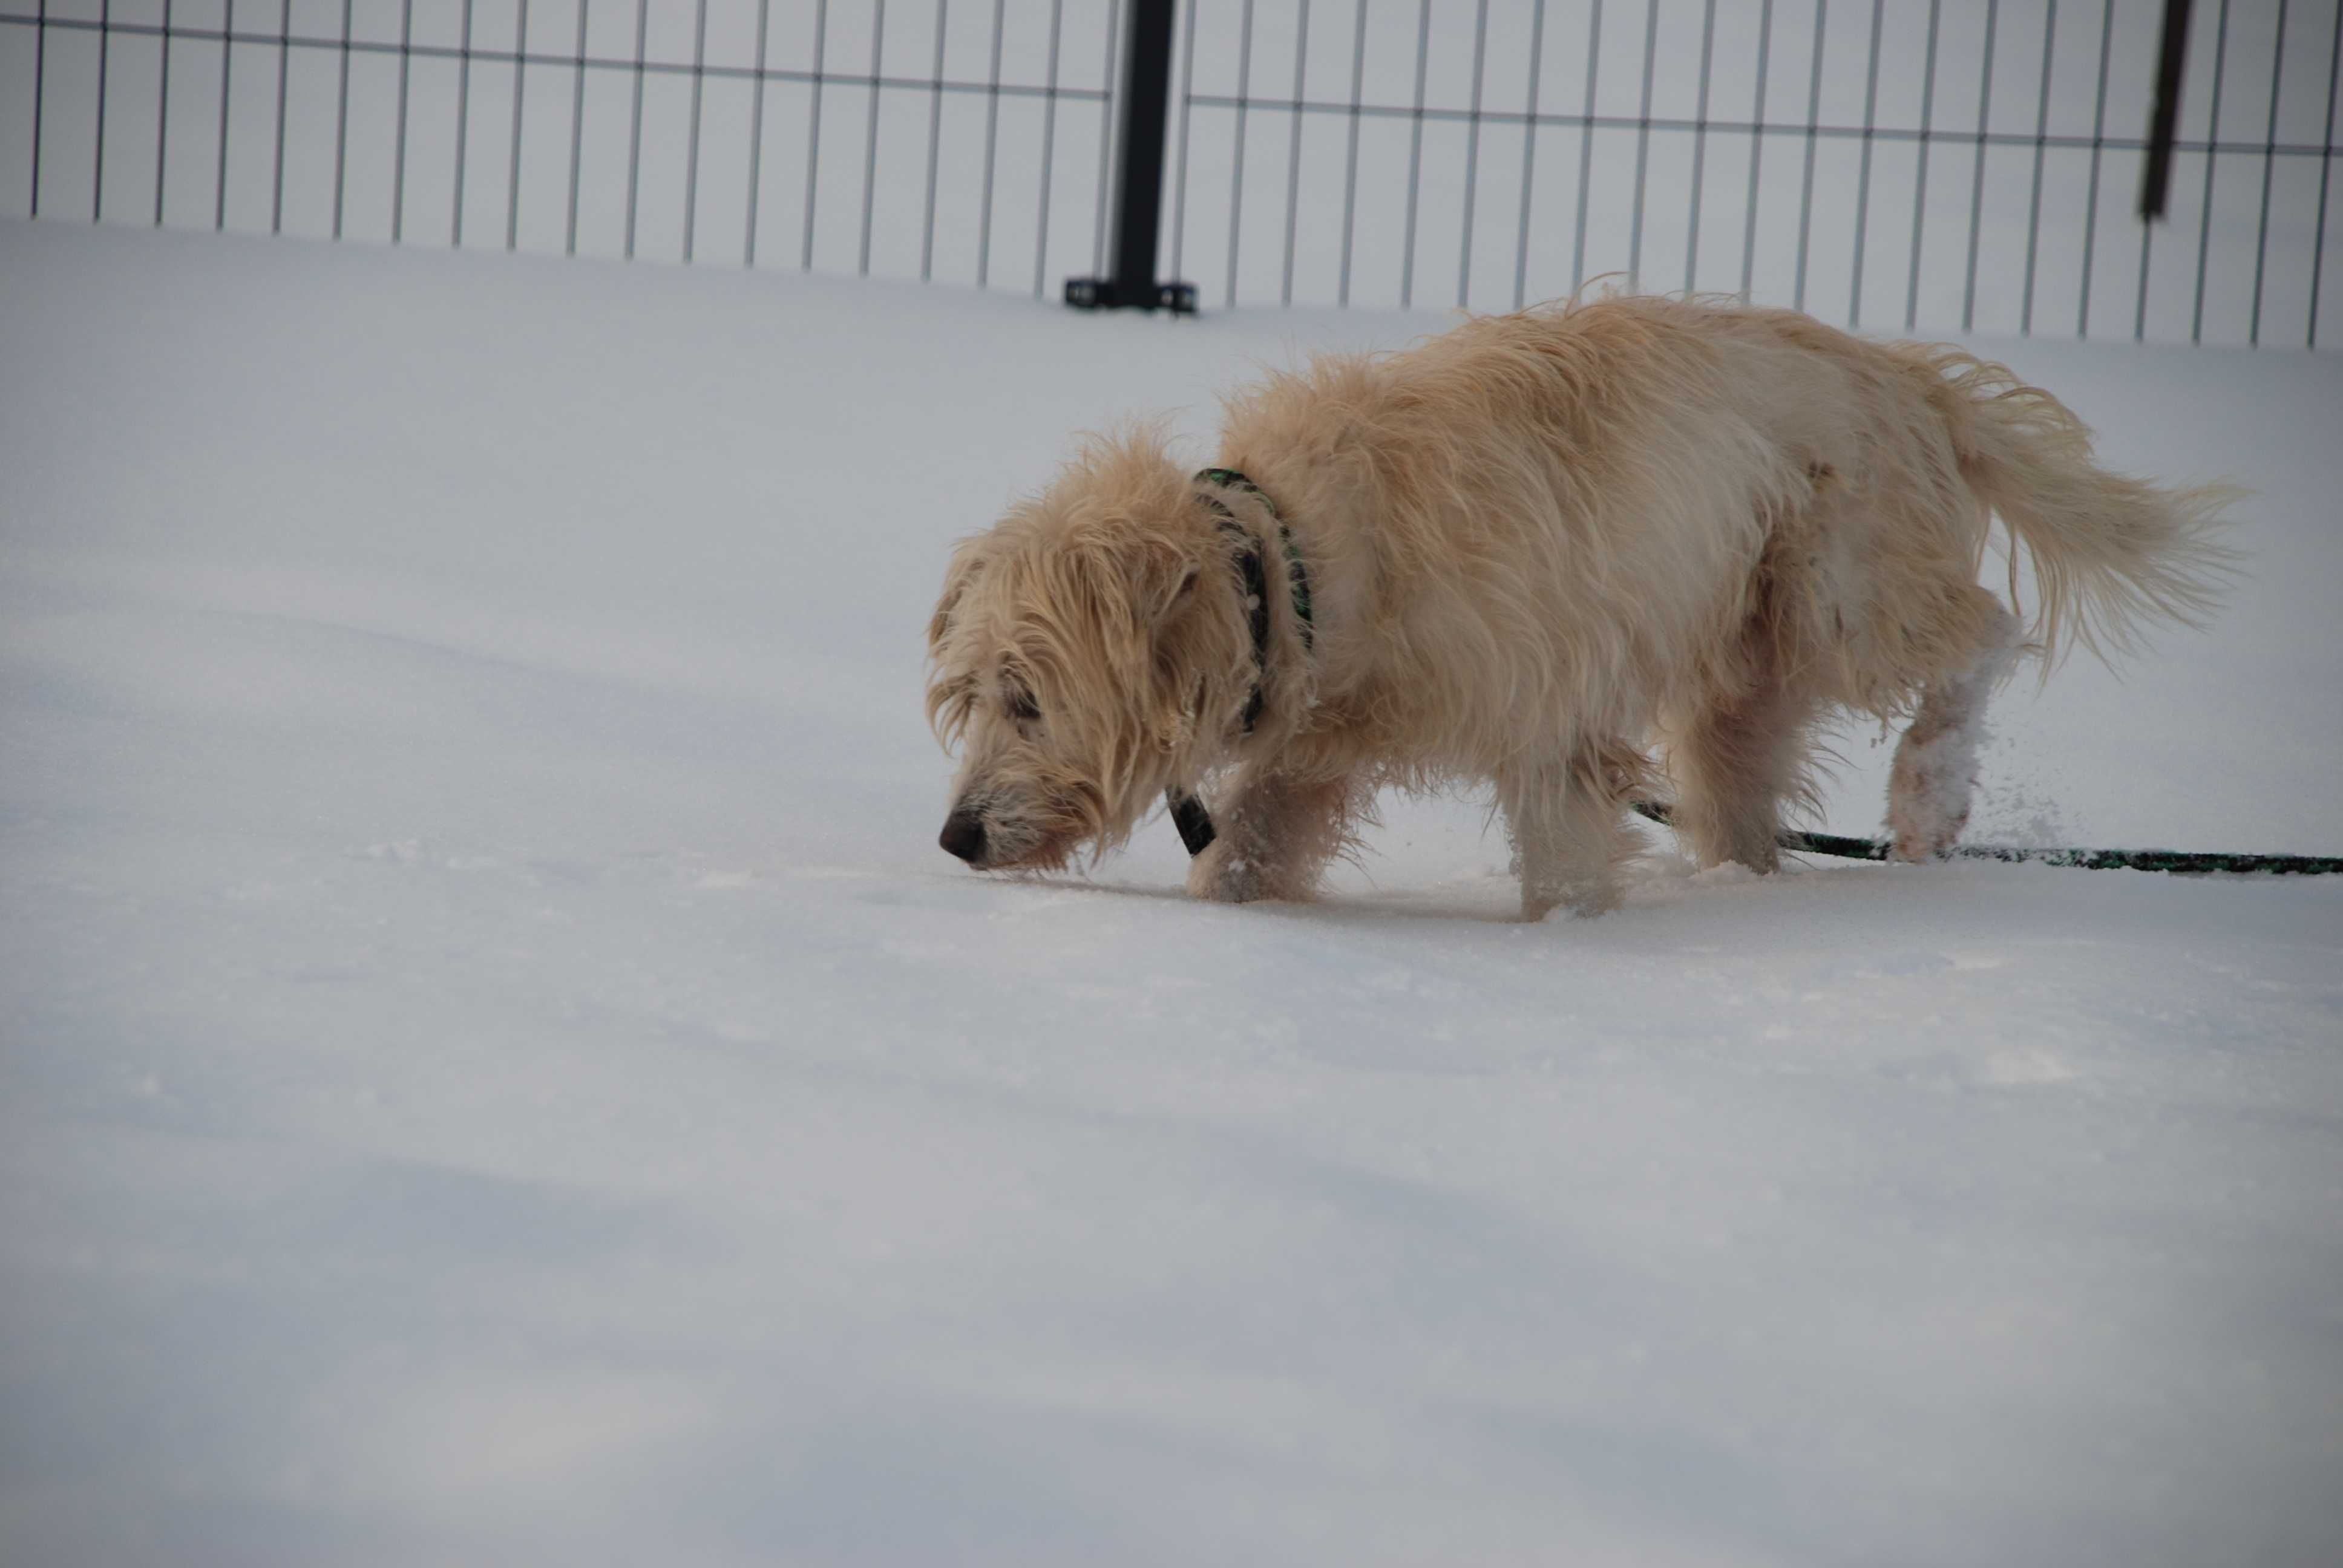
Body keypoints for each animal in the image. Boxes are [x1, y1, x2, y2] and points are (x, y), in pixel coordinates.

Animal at [923, 296, 2240, 918]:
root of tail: (1909, 378)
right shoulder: (1310, 756)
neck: (1296, 562)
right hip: (1739, 682)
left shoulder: (1549, 718)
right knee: (1742, 793)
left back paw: (1927, 793)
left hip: (1841, 588)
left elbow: (1557, 850)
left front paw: (1566, 947)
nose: (953, 838)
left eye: (1024, 697)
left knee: (1982, 633)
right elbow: (1249, 849)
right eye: (977, 696)